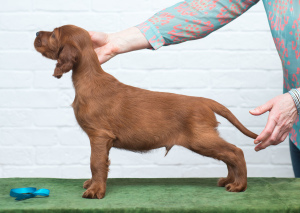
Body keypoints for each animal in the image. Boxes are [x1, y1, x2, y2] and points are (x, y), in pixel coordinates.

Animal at [34, 25, 256, 200]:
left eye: (53, 34)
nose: (36, 32)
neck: (89, 77)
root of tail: (204, 101)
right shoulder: (103, 140)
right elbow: (101, 164)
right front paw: (92, 184)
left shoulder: (99, 135)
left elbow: (95, 163)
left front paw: (95, 191)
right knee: (228, 155)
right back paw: (228, 180)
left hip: (200, 139)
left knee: (235, 151)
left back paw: (239, 185)